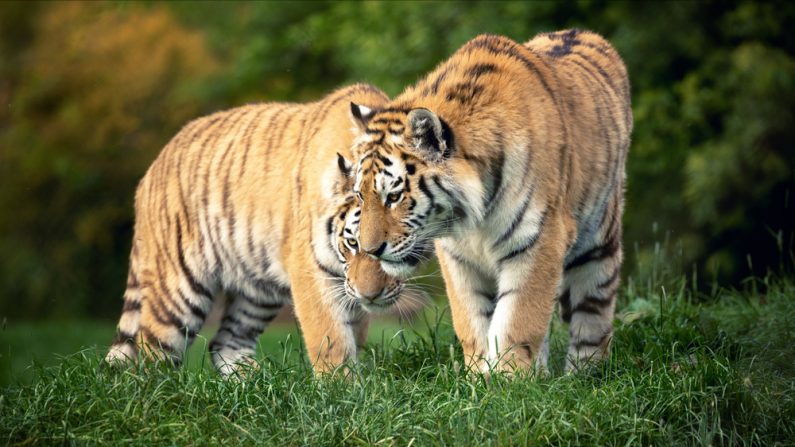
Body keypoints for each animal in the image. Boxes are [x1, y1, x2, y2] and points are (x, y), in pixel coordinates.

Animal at [106, 83, 416, 374]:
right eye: (353, 244)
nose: (369, 295)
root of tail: (152, 169)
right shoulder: (311, 271)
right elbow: (330, 338)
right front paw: (341, 387)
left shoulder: (346, 288)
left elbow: (354, 332)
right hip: (178, 288)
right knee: (152, 350)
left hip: (255, 291)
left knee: (225, 343)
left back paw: (252, 383)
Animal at [342, 28, 636, 374]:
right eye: (360, 195)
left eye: (394, 196)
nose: (370, 250)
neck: (470, 217)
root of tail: (583, 32)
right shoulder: (457, 257)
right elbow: (472, 320)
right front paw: (480, 376)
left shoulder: (540, 239)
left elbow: (519, 319)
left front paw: (510, 379)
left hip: (599, 240)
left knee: (593, 310)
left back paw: (584, 374)